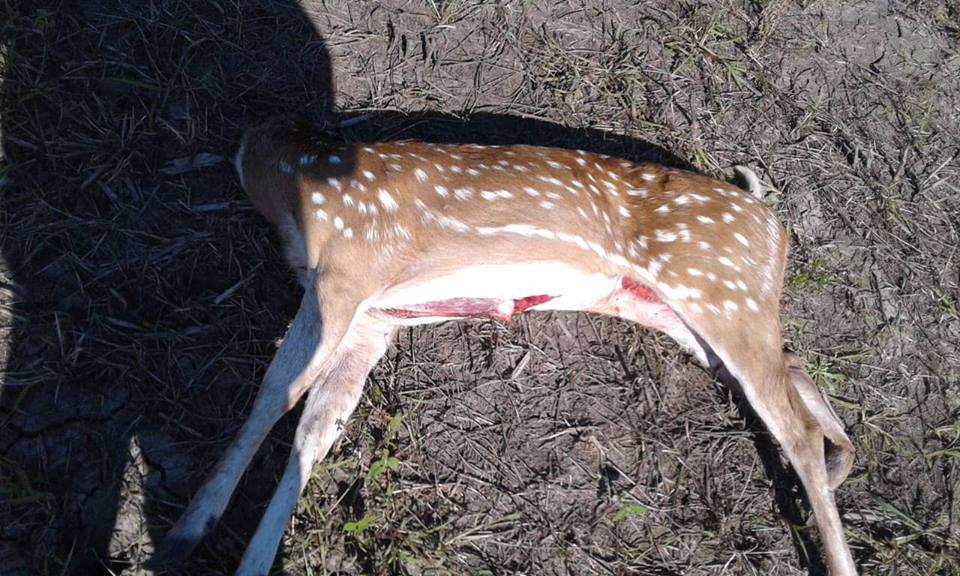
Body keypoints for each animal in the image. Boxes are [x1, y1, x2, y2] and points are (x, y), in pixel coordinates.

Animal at [149, 114, 857, 575]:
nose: (238, 141)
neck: (300, 196)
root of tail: (773, 223)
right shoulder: (373, 321)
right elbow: (316, 428)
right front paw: (246, 558)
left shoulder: (347, 273)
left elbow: (277, 391)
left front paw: (187, 531)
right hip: (671, 308)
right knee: (795, 370)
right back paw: (840, 462)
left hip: (720, 295)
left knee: (795, 429)